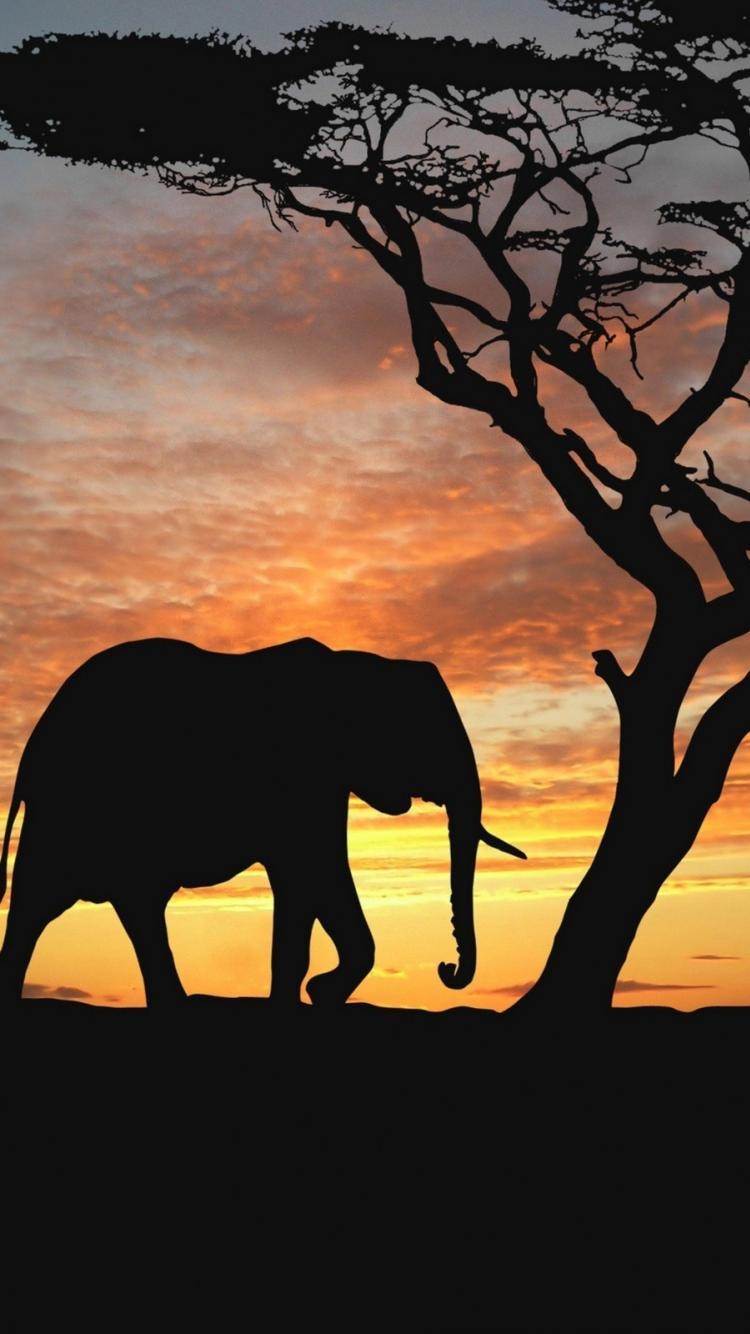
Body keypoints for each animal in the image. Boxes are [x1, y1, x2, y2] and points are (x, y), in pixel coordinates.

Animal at [0, 636, 525, 1006]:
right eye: (429, 738)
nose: (445, 969)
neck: (361, 665)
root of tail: (32, 747)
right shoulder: (305, 777)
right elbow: (313, 871)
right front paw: (313, 994)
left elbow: (314, 882)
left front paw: (316, 995)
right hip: (72, 808)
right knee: (42, 903)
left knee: (128, 904)